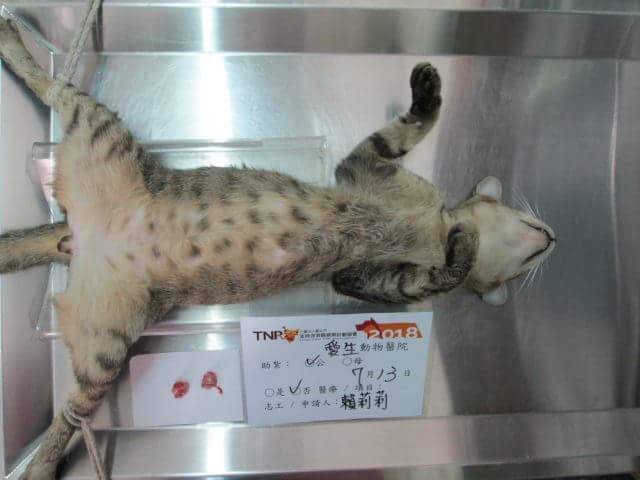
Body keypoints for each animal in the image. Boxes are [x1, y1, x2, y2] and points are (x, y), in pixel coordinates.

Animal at [0, 17, 554, 479]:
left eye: (530, 256)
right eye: (530, 231)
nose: (552, 237)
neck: (433, 225)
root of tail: (82, 234)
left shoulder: (365, 278)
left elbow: (434, 275)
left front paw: (465, 245)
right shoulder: (366, 167)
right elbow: (408, 128)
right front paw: (426, 89)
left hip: (108, 342)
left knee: (72, 410)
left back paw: (39, 465)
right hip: (104, 132)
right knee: (52, 85)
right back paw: (14, 42)